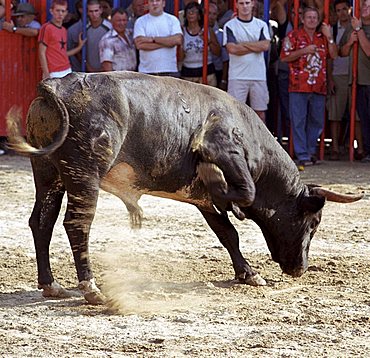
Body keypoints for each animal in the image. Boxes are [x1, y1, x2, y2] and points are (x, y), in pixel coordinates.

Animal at [7, 72, 362, 304]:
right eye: (313, 224)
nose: (300, 269)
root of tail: (56, 85)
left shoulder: (202, 201)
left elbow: (227, 233)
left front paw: (248, 273)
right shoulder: (223, 152)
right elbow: (243, 193)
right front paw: (222, 187)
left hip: (48, 174)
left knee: (42, 222)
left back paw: (51, 285)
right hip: (85, 175)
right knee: (76, 225)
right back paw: (91, 288)